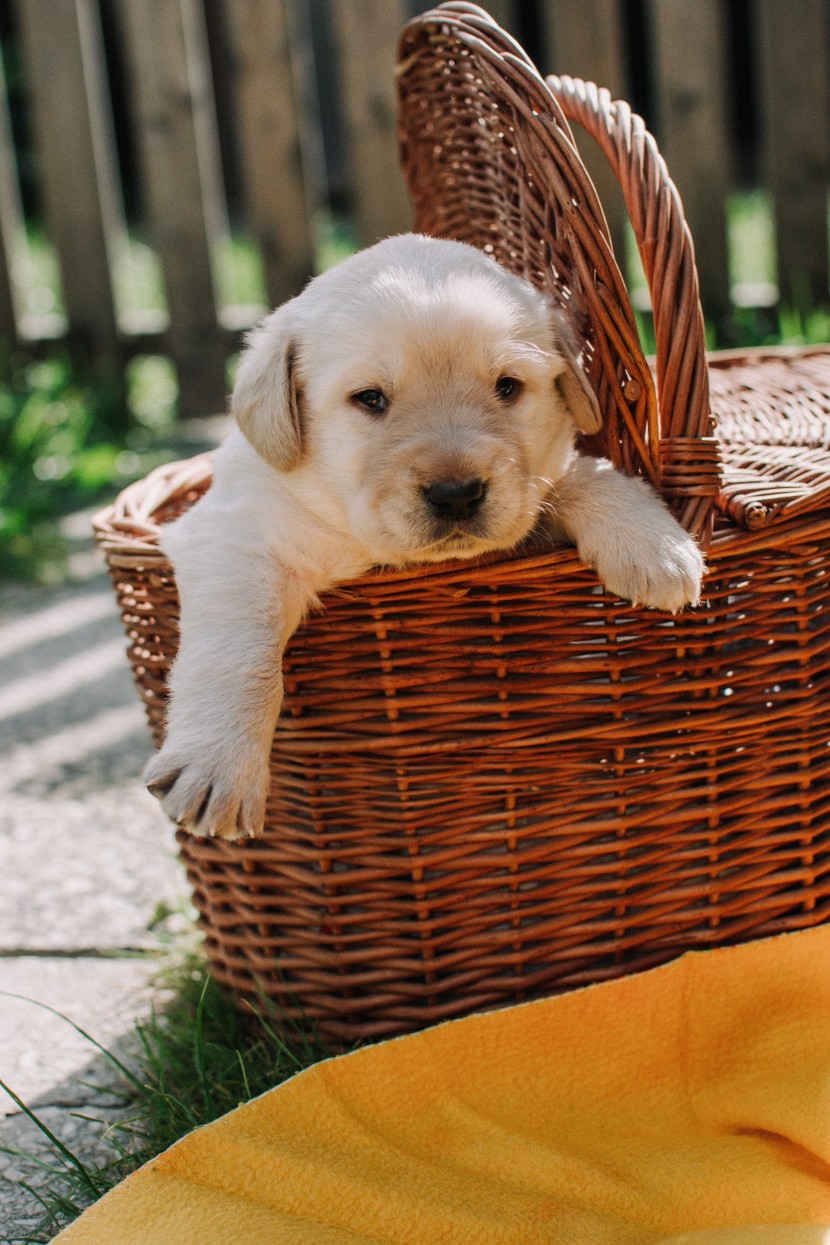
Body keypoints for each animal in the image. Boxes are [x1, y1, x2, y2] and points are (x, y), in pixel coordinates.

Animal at [146, 231, 706, 836]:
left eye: (508, 387)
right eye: (369, 398)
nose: (456, 494)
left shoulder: (538, 491)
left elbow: (580, 475)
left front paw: (656, 547)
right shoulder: (233, 533)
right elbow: (238, 652)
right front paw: (217, 765)